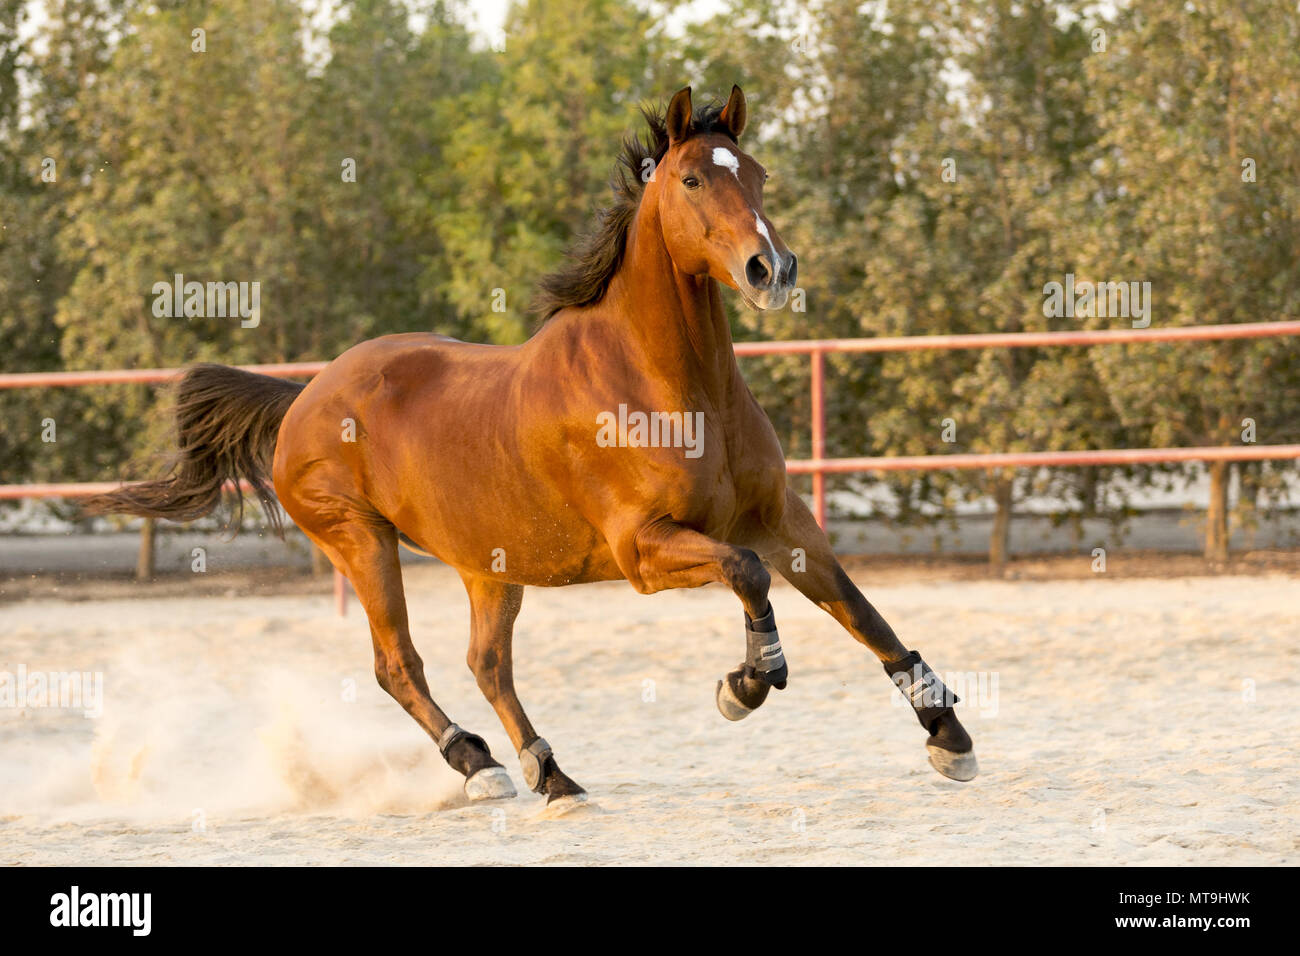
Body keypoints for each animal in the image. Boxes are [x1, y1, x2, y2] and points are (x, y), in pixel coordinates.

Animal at [89, 87, 977, 806]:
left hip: (490, 564)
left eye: (755, 173)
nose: (773, 268)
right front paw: (746, 683)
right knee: (399, 664)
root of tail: (304, 396)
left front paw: (948, 736)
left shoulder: (780, 516)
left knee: (487, 663)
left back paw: (550, 775)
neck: (674, 389)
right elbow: (748, 574)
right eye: (693, 179)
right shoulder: (643, 551)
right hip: (362, 541)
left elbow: (858, 607)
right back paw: (480, 768)